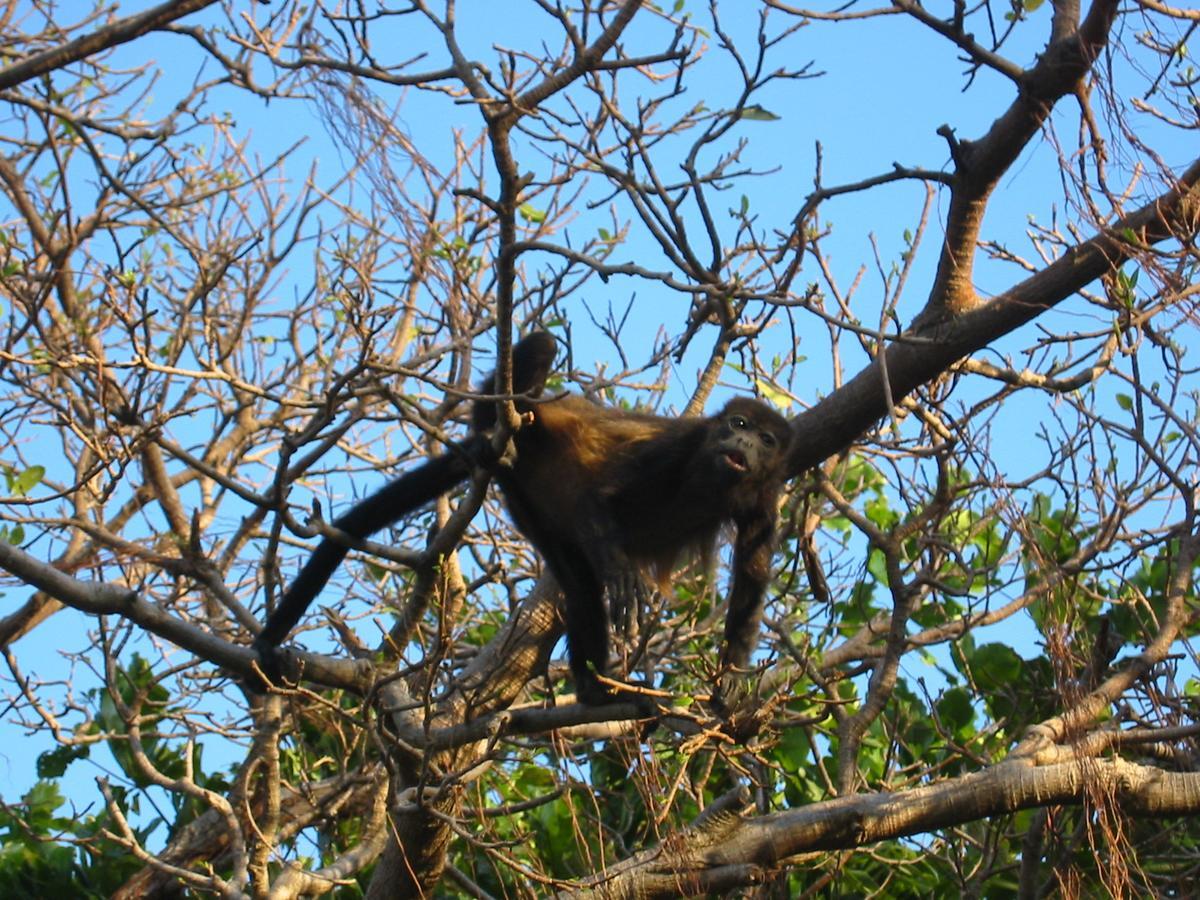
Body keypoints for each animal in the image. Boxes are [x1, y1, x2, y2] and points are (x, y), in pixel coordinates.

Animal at [258, 336, 792, 710]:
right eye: (737, 425)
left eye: (765, 439)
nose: (742, 444)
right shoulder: (680, 448)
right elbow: (600, 499)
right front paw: (623, 574)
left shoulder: (766, 503)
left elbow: (750, 586)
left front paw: (730, 685)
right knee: (543, 347)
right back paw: (497, 425)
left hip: (528, 506)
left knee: (577, 581)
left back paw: (595, 689)